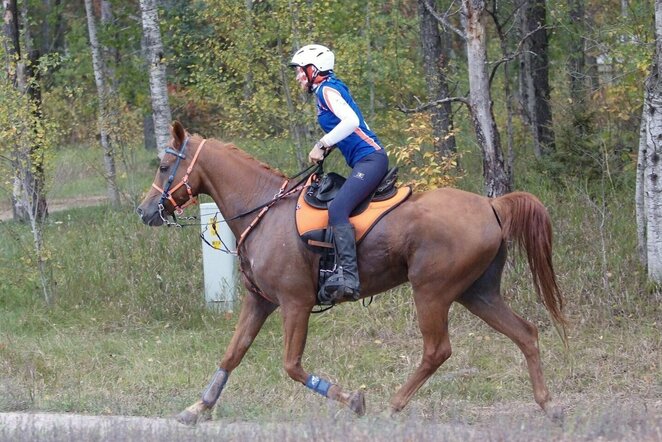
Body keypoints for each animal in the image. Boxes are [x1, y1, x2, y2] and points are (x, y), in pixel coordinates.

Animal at [136, 121, 572, 424]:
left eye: (164, 165)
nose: (144, 211)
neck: (263, 210)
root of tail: (491, 205)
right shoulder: (260, 302)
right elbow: (232, 353)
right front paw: (197, 408)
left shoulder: (295, 303)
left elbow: (292, 366)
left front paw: (353, 401)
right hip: (477, 292)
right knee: (525, 333)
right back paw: (550, 405)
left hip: (431, 291)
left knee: (437, 350)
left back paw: (393, 406)